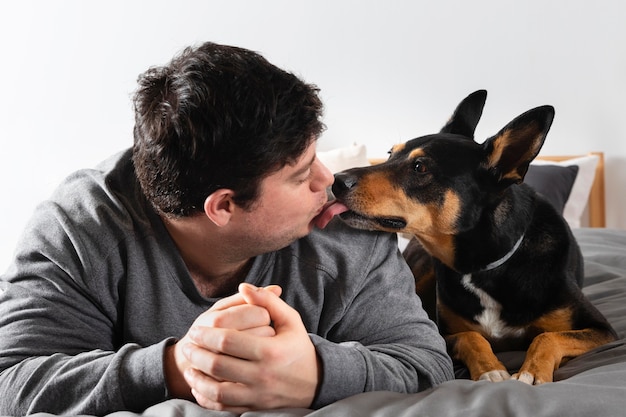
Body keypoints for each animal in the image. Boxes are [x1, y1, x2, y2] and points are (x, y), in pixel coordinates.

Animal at [332, 91, 616, 384]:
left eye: (420, 167)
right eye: (390, 154)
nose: (336, 180)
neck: (481, 266)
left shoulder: (602, 330)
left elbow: (547, 337)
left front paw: (532, 372)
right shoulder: (439, 334)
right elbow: (470, 336)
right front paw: (491, 369)